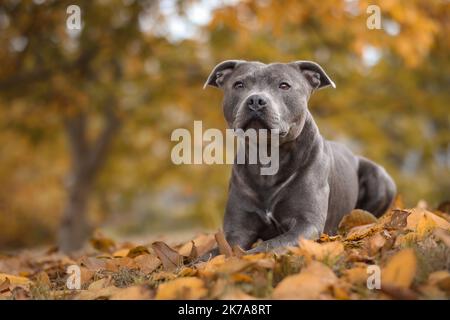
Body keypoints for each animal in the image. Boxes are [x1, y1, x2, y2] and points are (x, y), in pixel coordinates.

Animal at [202, 60, 396, 255]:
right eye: (239, 84)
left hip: (380, 179)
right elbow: (213, 254)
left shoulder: (306, 224)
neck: (269, 157)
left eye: (284, 85)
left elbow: (267, 247)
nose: (256, 100)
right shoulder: (237, 230)